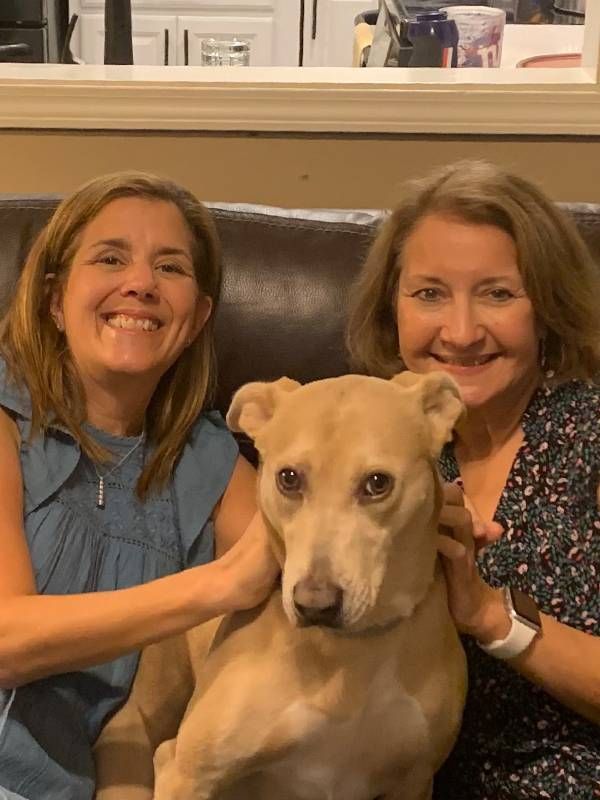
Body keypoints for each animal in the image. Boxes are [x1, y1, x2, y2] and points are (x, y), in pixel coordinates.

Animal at [95, 372, 468, 796]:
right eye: (288, 478)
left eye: (378, 483)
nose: (314, 605)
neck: (348, 652)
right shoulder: (187, 772)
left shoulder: (415, 780)